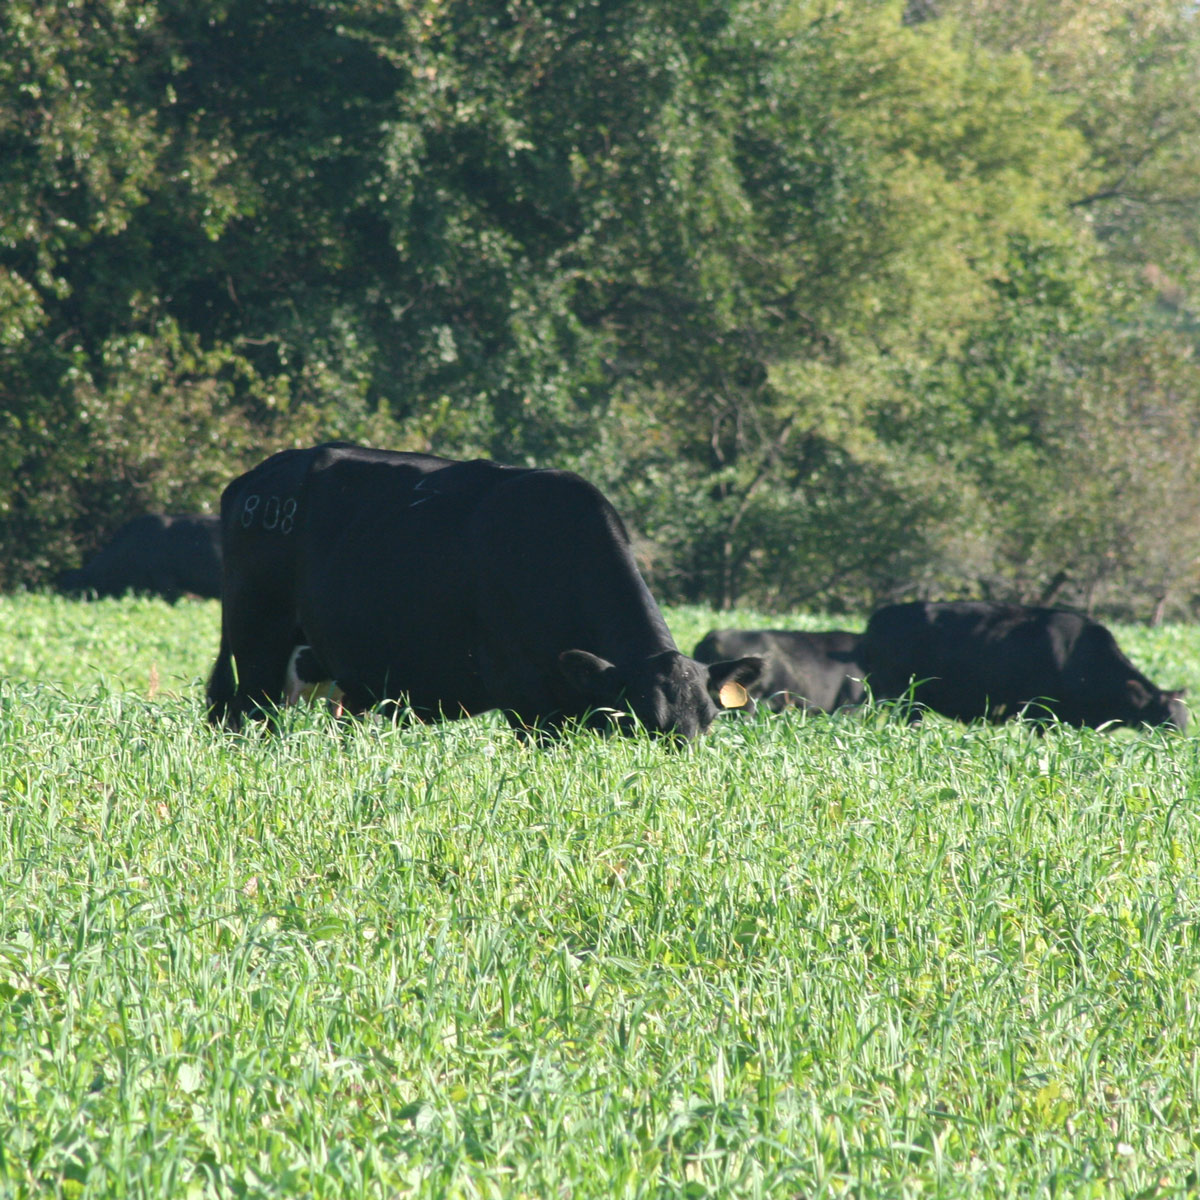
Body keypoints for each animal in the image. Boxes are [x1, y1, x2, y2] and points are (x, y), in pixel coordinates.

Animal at [207, 444, 763, 739]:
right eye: (643, 723)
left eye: (708, 721)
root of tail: (251, 481)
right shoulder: (529, 703)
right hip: (258, 647)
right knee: (241, 719)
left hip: (322, 670)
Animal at [859, 600, 1185, 729]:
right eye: (1165, 720)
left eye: (1185, 722)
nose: (1177, 747)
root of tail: (878, 617)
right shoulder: (1038, 715)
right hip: (903, 698)